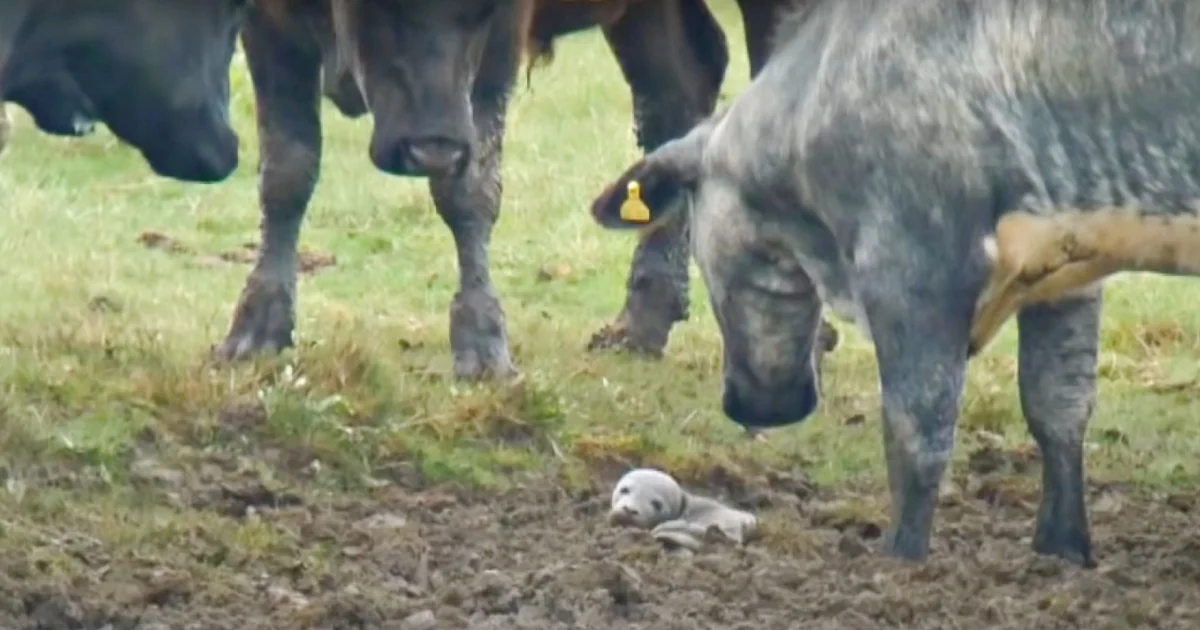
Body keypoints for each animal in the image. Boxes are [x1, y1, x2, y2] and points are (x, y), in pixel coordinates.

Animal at [587, 0, 1200, 567]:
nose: (756, 406)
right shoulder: (1065, 259)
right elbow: (1059, 405)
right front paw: (1063, 551)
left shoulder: (911, 266)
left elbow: (918, 431)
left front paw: (901, 562)